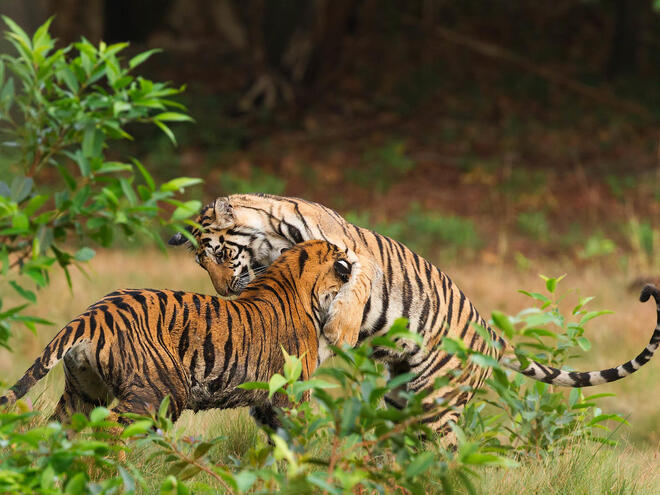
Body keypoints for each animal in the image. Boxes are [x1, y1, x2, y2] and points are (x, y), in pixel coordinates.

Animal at [0, 239, 358, 430]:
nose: (353, 259)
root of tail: (93, 314)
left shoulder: (265, 401)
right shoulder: (290, 391)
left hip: (84, 392)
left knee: (59, 430)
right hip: (164, 390)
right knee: (113, 426)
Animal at [169, 193, 660, 442]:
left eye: (219, 255)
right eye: (201, 265)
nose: (223, 290)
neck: (270, 241)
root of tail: (490, 334)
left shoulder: (355, 257)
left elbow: (353, 292)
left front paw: (339, 331)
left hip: (438, 404)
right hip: (403, 396)